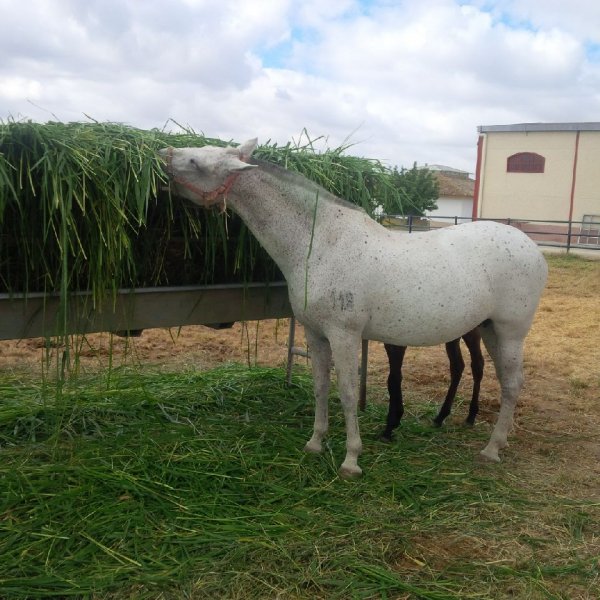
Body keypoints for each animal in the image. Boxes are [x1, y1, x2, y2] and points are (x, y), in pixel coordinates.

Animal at [159, 139, 548, 478]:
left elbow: (346, 393)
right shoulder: (315, 333)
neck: (321, 243)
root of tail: (533, 248)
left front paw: (351, 460)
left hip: (510, 333)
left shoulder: (344, 335)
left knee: (513, 384)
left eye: (197, 162)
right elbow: (320, 387)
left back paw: (491, 449)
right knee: (503, 380)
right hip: (487, 330)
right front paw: (315, 443)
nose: (163, 155)